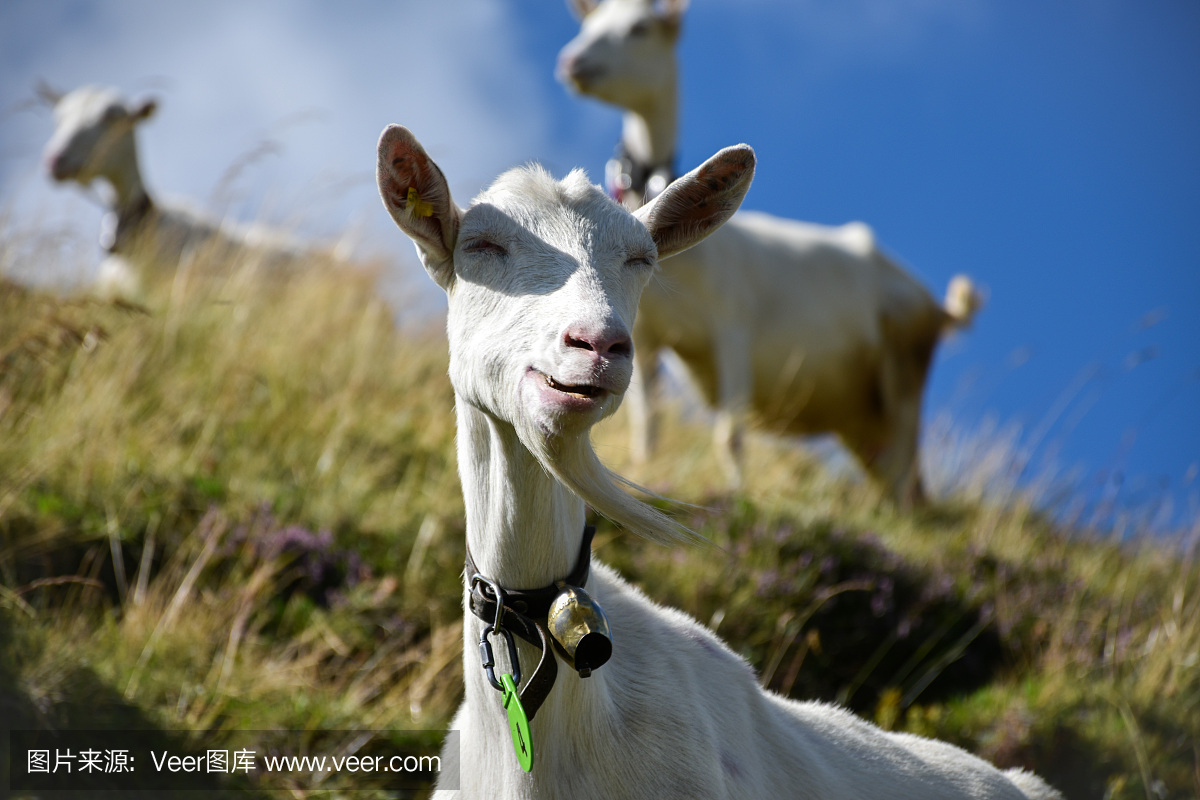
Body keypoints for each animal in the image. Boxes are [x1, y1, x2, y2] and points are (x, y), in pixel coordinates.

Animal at [556, 0, 979, 506]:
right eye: (589, 23)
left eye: (640, 27)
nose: (571, 63)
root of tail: (938, 308)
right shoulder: (648, 337)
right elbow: (648, 423)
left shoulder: (733, 327)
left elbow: (731, 434)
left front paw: (735, 497)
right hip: (863, 417)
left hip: (904, 376)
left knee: (904, 471)